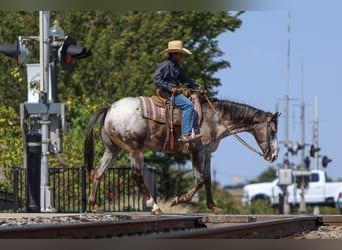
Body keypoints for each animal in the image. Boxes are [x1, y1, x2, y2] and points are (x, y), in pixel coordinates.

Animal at [84, 94, 280, 215]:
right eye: (273, 130)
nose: (274, 156)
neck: (214, 119)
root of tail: (110, 107)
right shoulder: (196, 151)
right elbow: (199, 180)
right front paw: (178, 200)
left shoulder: (207, 153)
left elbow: (207, 180)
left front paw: (214, 207)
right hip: (135, 150)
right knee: (137, 176)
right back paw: (155, 207)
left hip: (112, 150)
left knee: (99, 171)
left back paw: (94, 205)